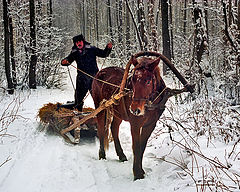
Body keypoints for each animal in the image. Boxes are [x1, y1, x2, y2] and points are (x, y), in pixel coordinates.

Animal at [91, 52, 191, 180]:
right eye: (132, 80)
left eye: (148, 81)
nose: (135, 109)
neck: (150, 103)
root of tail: (100, 72)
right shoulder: (135, 124)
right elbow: (136, 147)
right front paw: (137, 174)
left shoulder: (150, 124)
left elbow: (142, 147)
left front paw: (141, 171)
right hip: (100, 107)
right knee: (101, 129)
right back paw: (102, 155)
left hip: (118, 112)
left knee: (114, 128)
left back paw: (121, 155)